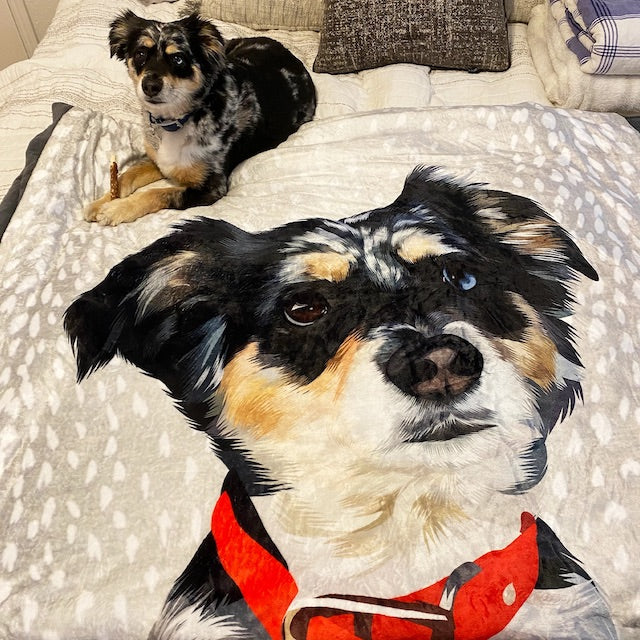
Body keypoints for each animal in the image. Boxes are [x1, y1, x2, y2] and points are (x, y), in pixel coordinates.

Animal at [84, 10, 316, 226]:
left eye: (178, 58)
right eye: (140, 53)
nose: (149, 86)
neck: (177, 120)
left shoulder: (211, 187)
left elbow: (158, 192)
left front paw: (116, 209)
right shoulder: (158, 160)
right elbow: (127, 175)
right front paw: (99, 203)